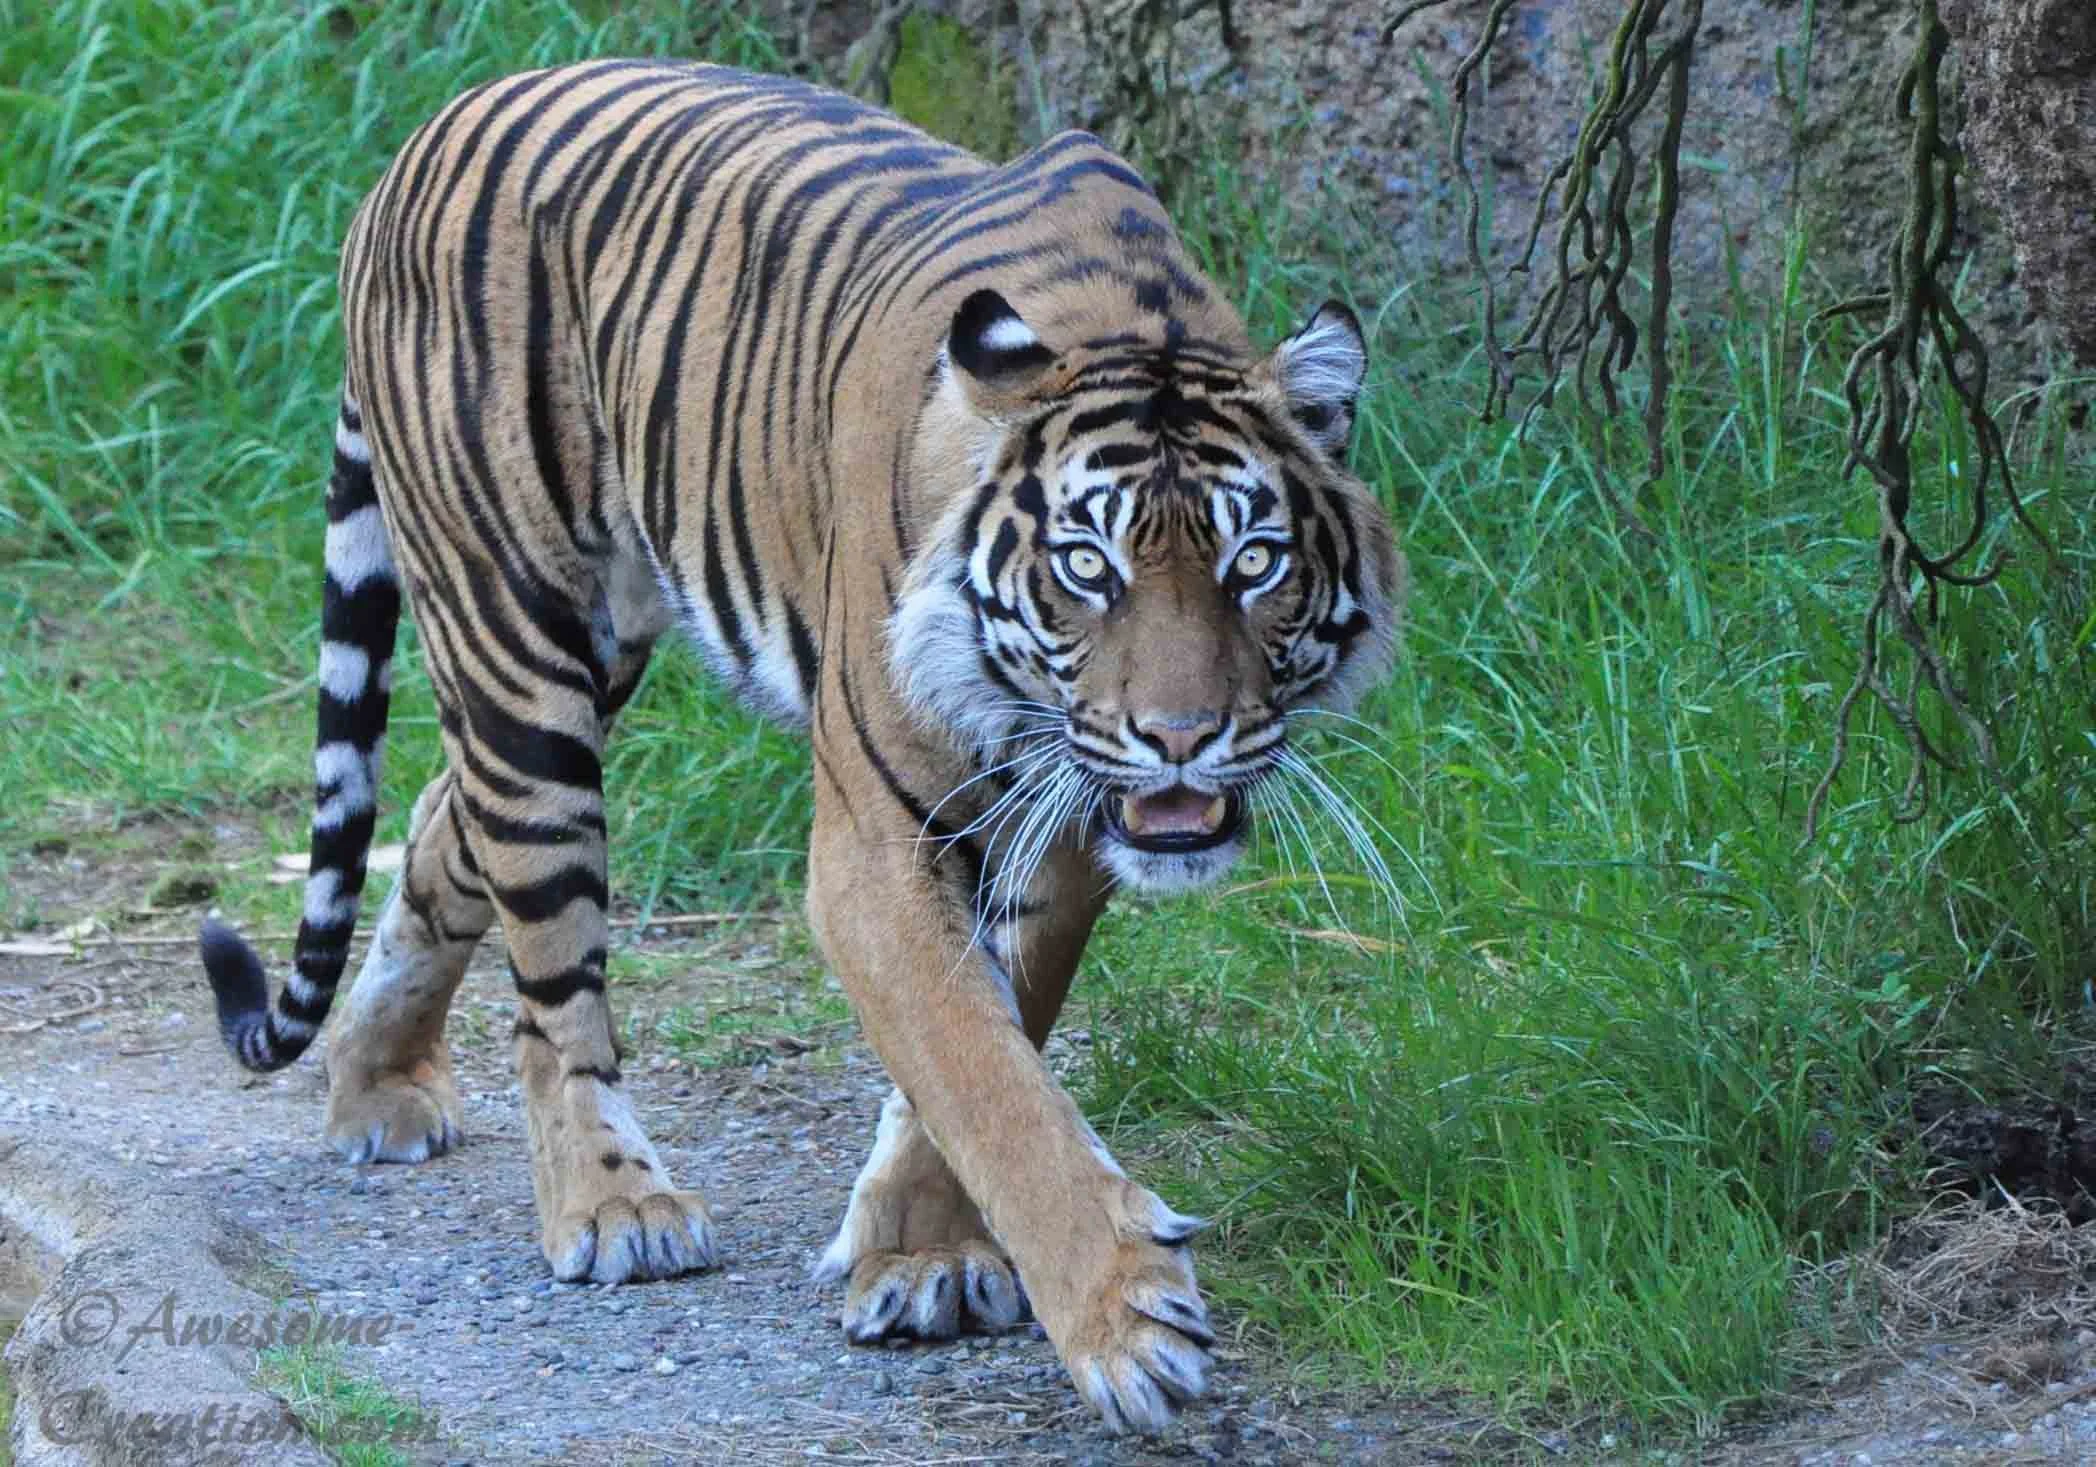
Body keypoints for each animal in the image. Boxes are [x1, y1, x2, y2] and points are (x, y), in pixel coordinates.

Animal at [198, 60, 1403, 1434]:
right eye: (1086, 567)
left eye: (1252, 562)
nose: (1180, 740)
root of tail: (427, 132)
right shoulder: (878, 842)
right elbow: (983, 1075)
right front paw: (1125, 1320)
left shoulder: (1057, 826)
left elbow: (990, 1042)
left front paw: (921, 1256)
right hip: (517, 642)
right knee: (548, 969)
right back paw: (613, 1204)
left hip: (596, 647)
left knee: (444, 825)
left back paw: (375, 1083)